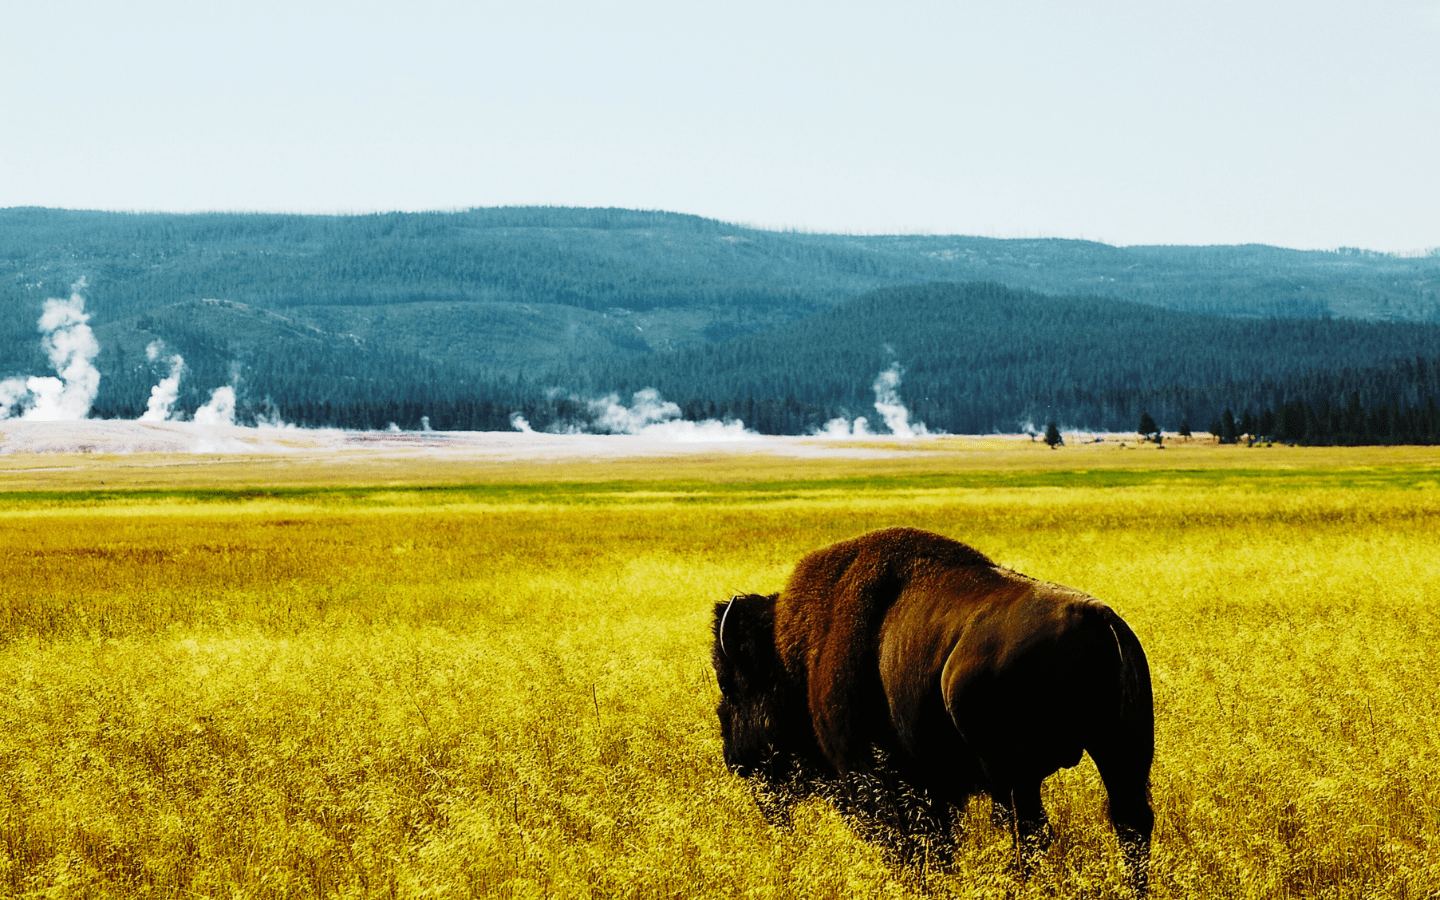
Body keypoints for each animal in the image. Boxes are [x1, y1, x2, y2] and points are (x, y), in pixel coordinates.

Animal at [714, 529, 1152, 887]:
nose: (734, 760)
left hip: (1016, 775)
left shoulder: (874, 778)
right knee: (1130, 823)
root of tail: (1100, 620)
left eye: (733, 687)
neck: (797, 655)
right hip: (1121, 754)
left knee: (1032, 833)